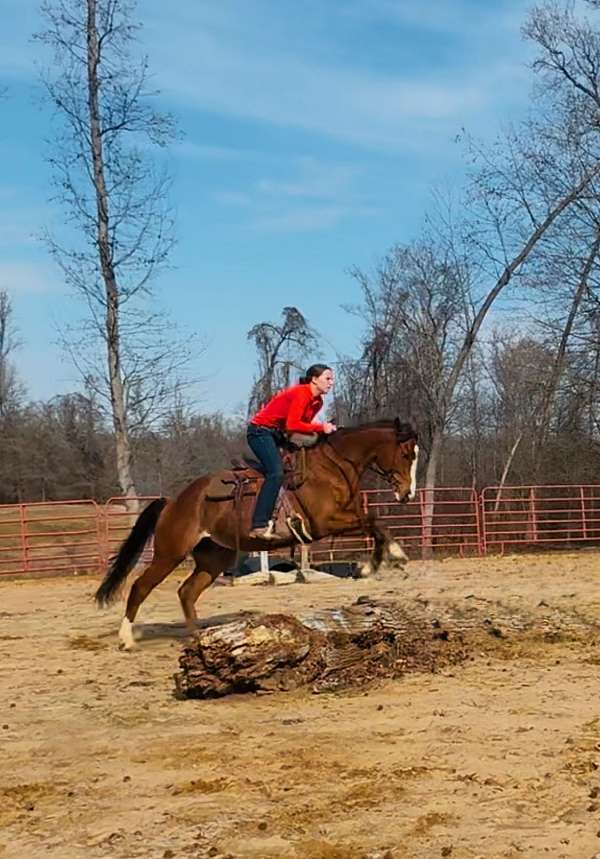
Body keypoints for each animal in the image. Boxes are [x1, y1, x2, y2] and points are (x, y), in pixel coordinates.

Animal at [97, 420, 418, 648]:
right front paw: (375, 563)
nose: (408, 493)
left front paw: (388, 558)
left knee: (187, 592)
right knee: (140, 586)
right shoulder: (324, 522)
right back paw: (126, 638)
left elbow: (374, 523)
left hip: (215, 558)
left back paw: (198, 638)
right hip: (170, 553)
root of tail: (173, 502)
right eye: (406, 453)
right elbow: (372, 522)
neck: (332, 467)